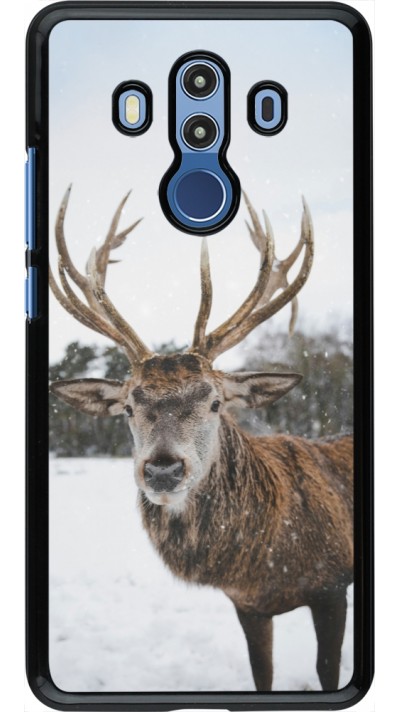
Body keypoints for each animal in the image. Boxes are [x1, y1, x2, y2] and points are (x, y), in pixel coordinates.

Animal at [49, 187, 353, 692]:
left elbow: (328, 671)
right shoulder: (248, 605)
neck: (266, 563)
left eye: (214, 402)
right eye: (128, 407)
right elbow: (262, 674)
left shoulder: (332, 586)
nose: (163, 469)